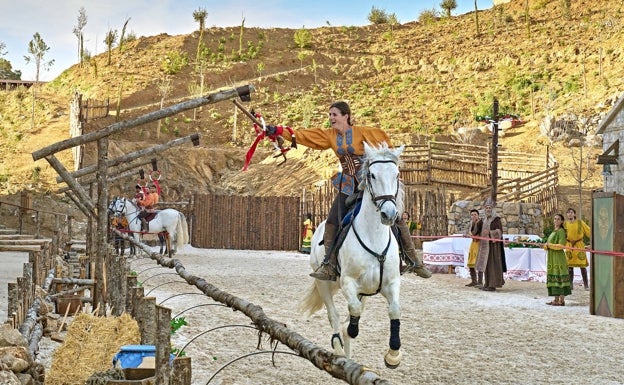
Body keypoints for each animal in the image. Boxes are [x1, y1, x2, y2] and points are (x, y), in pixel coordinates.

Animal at [302, 141, 404, 366]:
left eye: (397, 175)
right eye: (372, 175)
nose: (389, 214)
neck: (374, 238)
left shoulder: (390, 283)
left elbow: (394, 310)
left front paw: (393, 355)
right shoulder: (348, 282)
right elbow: (352, 313)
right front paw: (349, 331)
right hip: (323, 282)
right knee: (334, 316)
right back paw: (339, 349)